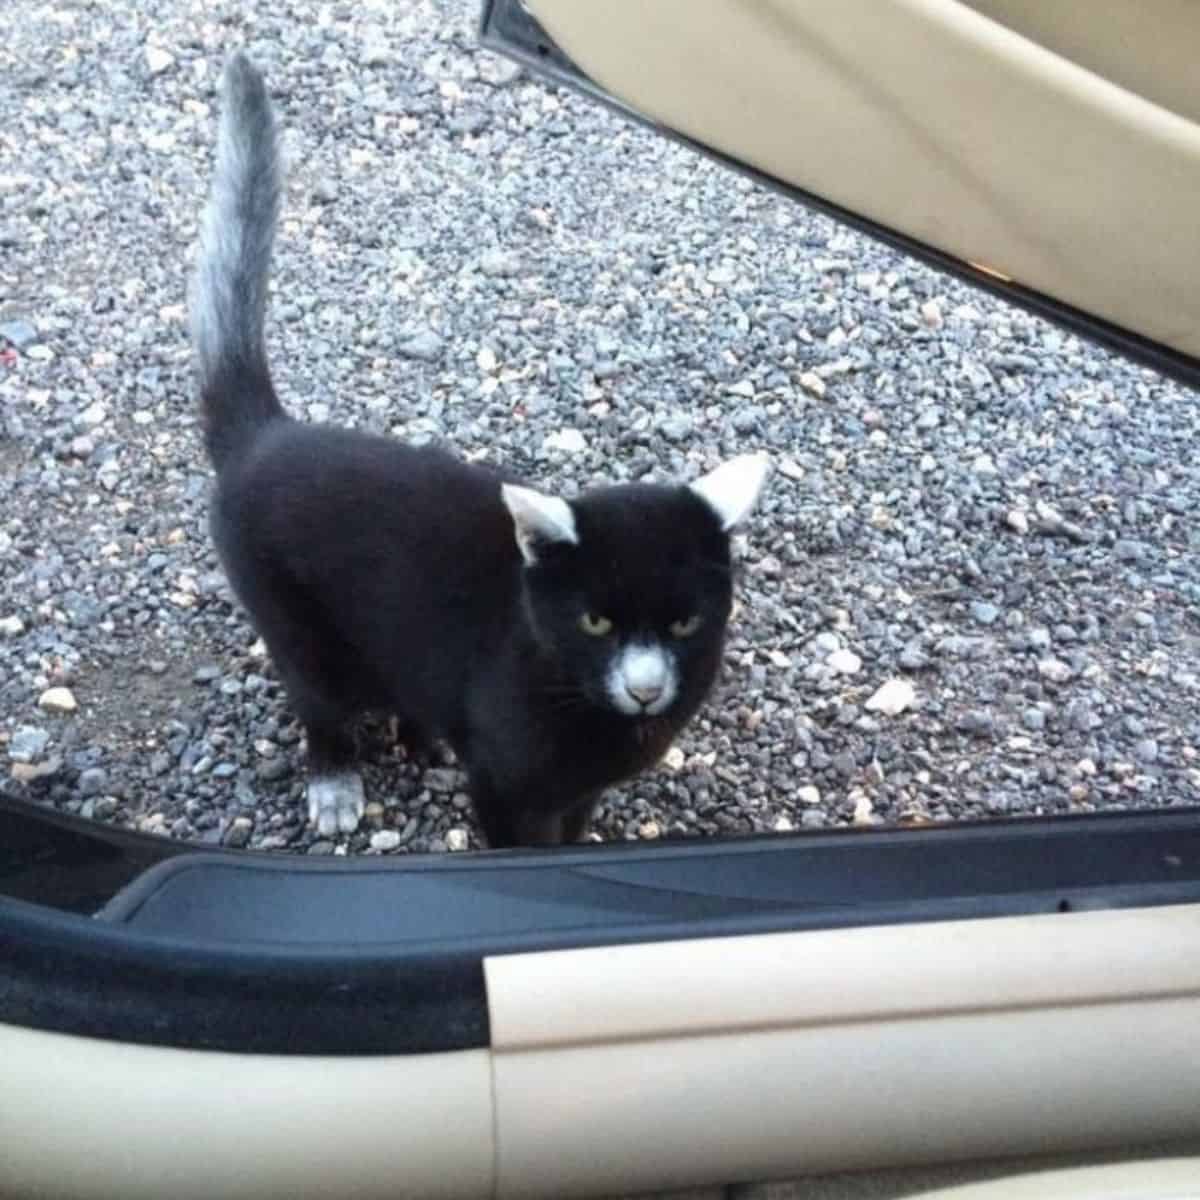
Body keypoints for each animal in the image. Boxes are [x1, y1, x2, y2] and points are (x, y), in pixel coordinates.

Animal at [187, 54, 768, 844]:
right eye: (596, 621)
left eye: (685, 622)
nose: (647, 689)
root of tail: (268, 432)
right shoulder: (503, 786)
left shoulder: (580, 791)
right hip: (296, 627)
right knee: (320, 705)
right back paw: (335, 782)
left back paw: (422, 739)